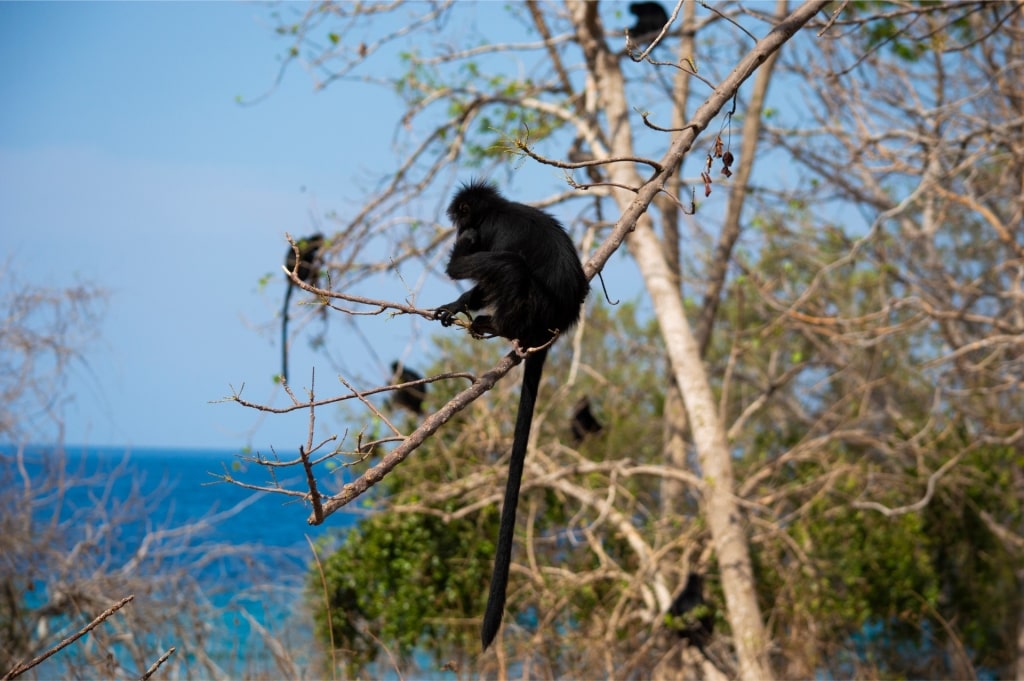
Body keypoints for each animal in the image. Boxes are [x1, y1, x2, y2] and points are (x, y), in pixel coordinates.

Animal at [433, 180, 589, 650]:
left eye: (463, 220)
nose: (462, 231)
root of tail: (550, 330)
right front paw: (456, 303)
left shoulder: (492, 234)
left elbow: (482, 261)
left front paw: (460, 261)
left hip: (530, 309)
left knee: (510, 267)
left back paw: (497, 326)